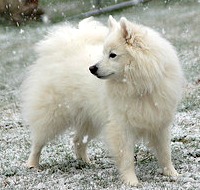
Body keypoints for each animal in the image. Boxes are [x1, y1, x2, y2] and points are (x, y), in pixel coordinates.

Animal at [21, 15, 183, 186]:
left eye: (112, 55)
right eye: (103, 53)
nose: (92, 68)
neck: (139, 87)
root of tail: (63, 51)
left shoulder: (159, 123)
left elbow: (165, 152)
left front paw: (172, 174)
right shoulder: (121, 127)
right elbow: (126, 158)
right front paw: (131, 181)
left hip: (90, 120)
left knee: (78, 140)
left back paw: (86, 163)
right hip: (53, 116)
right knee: (38, 142)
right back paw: (32, 165)